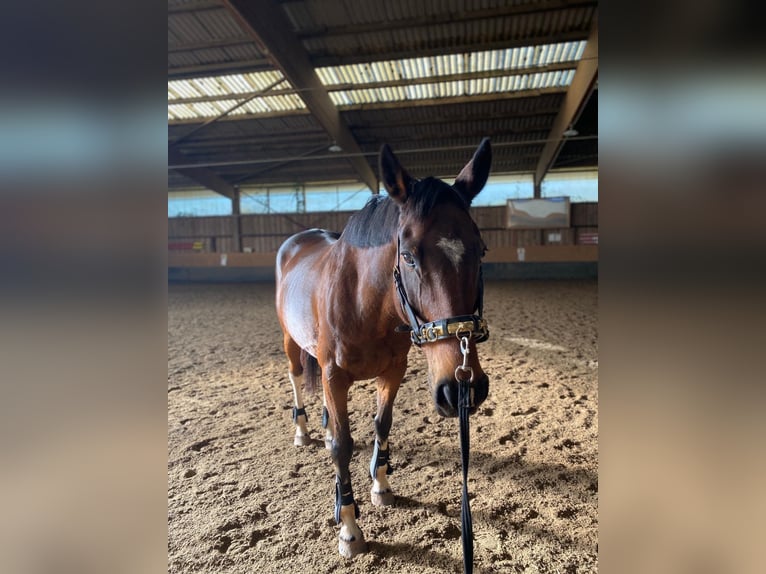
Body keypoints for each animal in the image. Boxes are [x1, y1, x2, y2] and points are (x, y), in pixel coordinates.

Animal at [275, 138, 492, 559]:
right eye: (407, 255)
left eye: (481, 250)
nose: (462, 387)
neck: (365, 303)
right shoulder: (334, 375)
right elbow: (342, 446)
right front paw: (349, 528)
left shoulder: (393, 370)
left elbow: (382, 423)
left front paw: (382, 485)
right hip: (290, 341)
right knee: (295, 379)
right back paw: (302, 432)